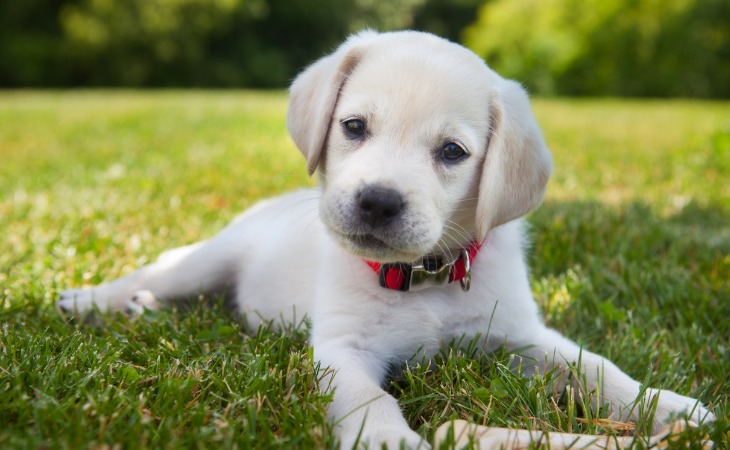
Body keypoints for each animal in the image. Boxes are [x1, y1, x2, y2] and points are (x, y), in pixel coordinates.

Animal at [58, 29, 712, 448]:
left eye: (453, 152)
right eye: (353, 126)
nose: (377, 200)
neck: (422, 277)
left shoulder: (520, 334)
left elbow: (594, 365)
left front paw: (668, 405)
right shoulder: (343, 349)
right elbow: (366, 399)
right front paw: (388, 438)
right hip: (208, 259)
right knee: (159, 271)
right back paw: (97, 299)